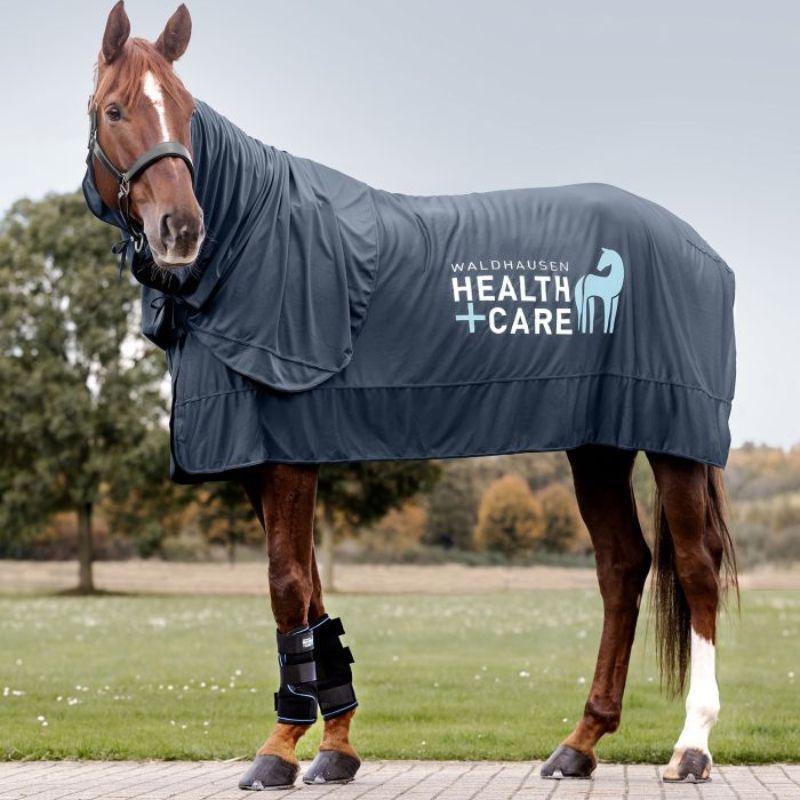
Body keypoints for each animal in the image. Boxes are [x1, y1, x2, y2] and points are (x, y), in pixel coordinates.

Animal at [85, 2, 737, 789]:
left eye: (186, 110)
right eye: (115, 109)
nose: (181, 229)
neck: (255, 245)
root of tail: (701, 249)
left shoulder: (289, 452)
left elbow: (285, 585)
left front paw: (278, 751)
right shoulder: (261, 458)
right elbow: (312, 594)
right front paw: (335, 749)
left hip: (673, 440)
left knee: (696, 569)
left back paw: (691, 746)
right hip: (598, 447)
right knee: (622, 567)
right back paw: (578, 744)